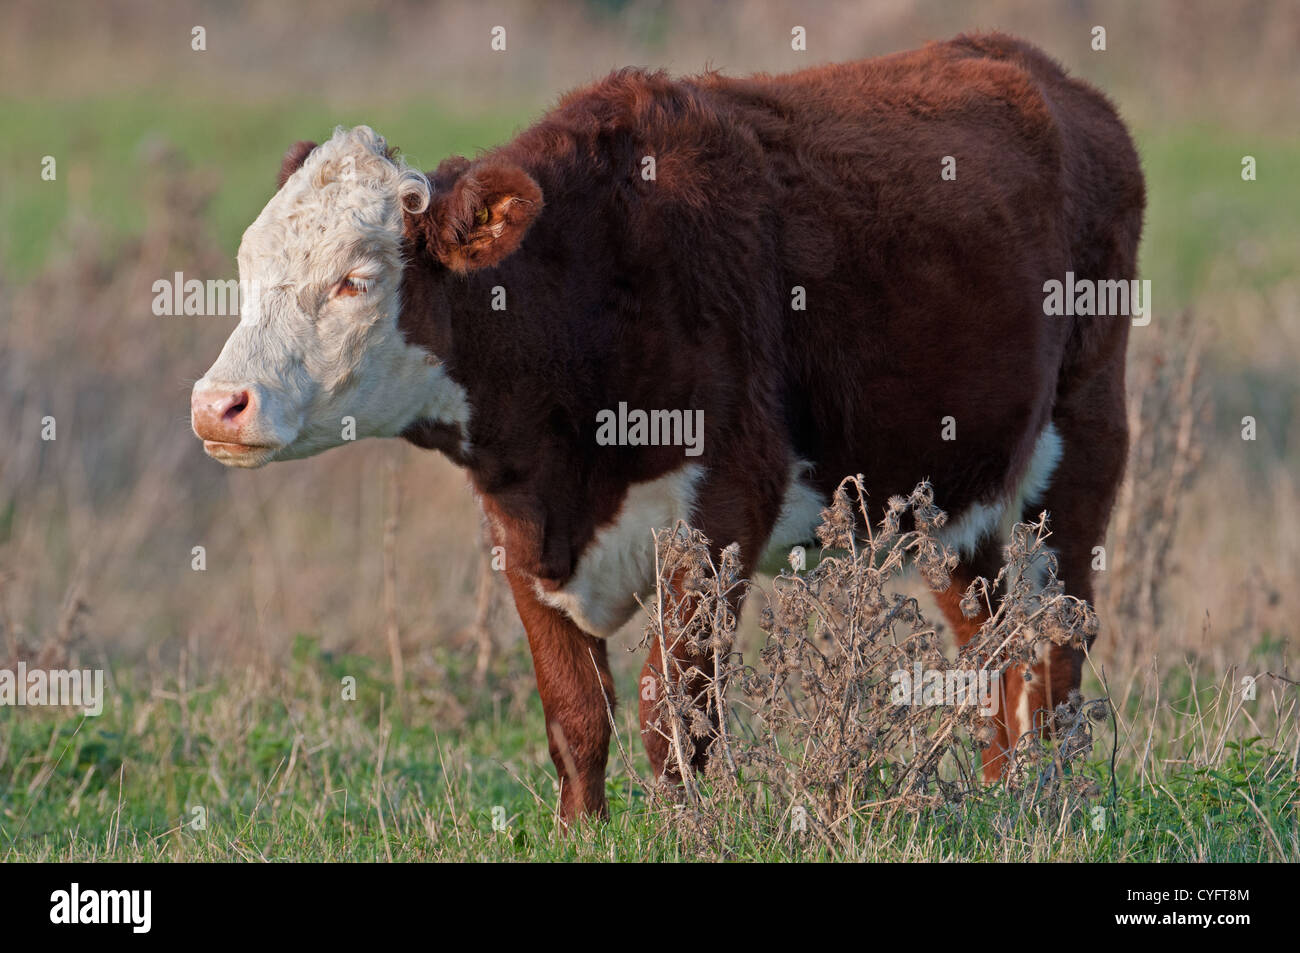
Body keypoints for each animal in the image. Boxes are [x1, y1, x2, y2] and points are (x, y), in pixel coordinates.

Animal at [191, 32, 1144, 821]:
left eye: (354, 279)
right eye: (249, 265)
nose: (217, 403)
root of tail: (1052, 79)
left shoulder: (722, 511)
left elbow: (673, 714)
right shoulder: (518, 531)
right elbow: (577, 715)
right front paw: (581, 833)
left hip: (1084, 435)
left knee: (1059, 642)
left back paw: (1056, 800)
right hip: (955, 490)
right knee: (991, 642)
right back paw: (1001, 796)